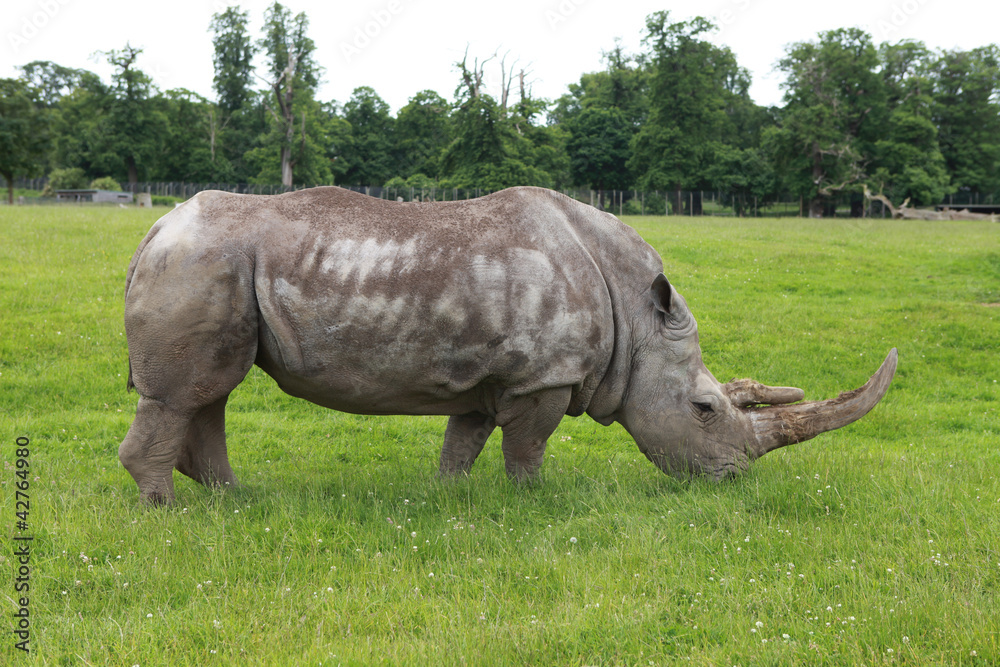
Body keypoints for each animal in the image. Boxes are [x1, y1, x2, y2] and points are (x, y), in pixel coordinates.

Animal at [119, 186, 897, 504]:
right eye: (705, 409)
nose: (732, 480)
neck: (638, 318)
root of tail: (154, 229)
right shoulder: (544, 375)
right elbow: (528, 446)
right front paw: (532, 501)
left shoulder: (488, 374)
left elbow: (463, 438)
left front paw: (448, 497)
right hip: (203, 262)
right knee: (187, 392)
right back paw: (166, 512)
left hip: (213, 265)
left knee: (210, 392)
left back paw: (232, 500)